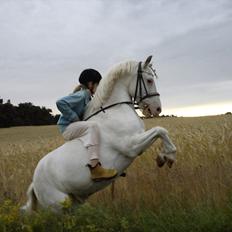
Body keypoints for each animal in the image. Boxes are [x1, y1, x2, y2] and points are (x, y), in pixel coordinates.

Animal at [22, 55, 176, 212]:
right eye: (150, 80)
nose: (157, 109)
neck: (115, 109)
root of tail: (34, 183)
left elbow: (161, 131)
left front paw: (164, 157)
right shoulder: (131, 146)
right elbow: (160, 130)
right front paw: (167, 157)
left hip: (74, 201)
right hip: (60, 205)